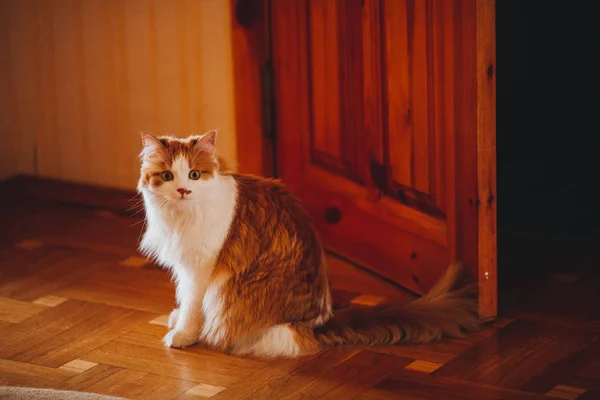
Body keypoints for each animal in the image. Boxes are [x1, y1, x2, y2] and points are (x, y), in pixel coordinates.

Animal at [138, 131, 480, 360]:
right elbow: (183, 299)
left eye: (194, 174)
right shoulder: (183, 266)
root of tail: (321, 320)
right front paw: (176, 318)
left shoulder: (201, 267)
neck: (180, 217)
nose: (182, 190)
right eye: (167, 176)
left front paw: (183, 335)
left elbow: (193, 306)